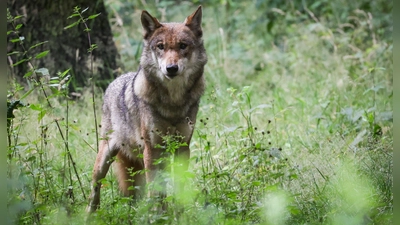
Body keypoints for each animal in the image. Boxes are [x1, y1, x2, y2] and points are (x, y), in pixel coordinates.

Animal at [86, 5, 208, 213]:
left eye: (183, 45)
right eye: (160, 46)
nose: (171, 68)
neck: (173, 103)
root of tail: (115, 81)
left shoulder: (183, 147)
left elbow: (179, 187)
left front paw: (180, 214)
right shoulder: (152, 149)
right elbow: (155, 190)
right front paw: (157, 215)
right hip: (105, 159)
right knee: (95, 190)